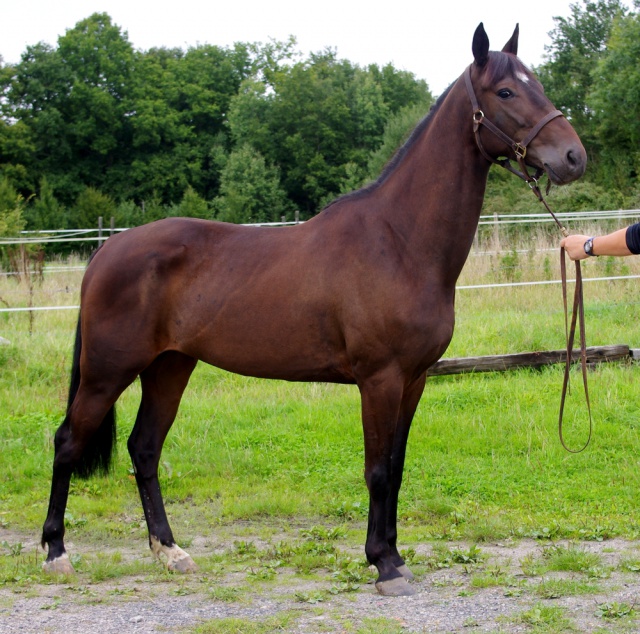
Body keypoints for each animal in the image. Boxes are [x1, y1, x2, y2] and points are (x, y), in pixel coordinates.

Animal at [41, 24, 584, 596]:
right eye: (506, 91)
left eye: (536, 82)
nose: (574, 157)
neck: (399, 241)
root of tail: (107, 249)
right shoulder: (380, 379)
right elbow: (377, 471)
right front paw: (383, 565)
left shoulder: (414, 379)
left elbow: (397, 467)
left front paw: (394, 555)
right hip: (107, 372)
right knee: (67, 442)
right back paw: (56, 553)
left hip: (169, 367)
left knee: (144, 450)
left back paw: (171, 552)